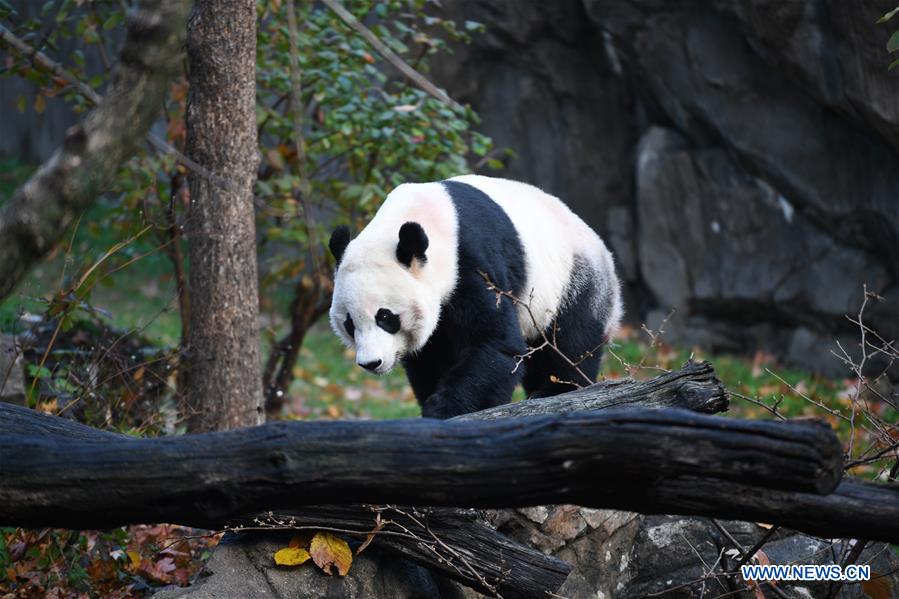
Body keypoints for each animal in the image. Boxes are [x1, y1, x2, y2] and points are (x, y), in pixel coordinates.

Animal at [327, 175, 622, 419]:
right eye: (349, 324)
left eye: (386, 317)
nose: (371, 363)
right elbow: (430, 356)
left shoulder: (472, 261)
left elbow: (494, 342)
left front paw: (444, 408)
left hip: (573, 278)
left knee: (570, 340)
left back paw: (555, 390)